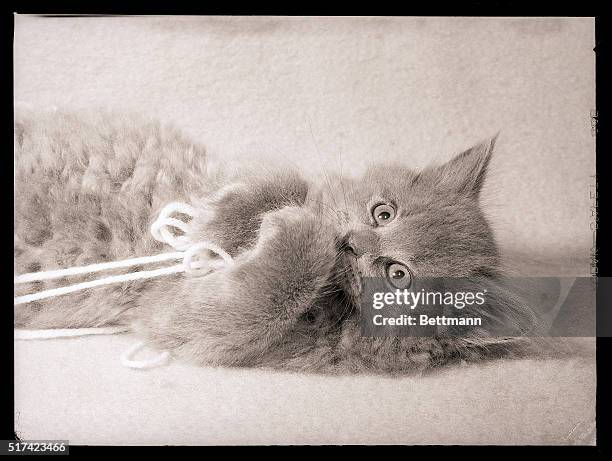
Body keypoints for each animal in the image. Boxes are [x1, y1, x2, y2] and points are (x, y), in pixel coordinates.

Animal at [13, 110, 540, 374]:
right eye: (383, 212)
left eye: (398, 276)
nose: (352, 243)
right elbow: (282, 182)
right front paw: (220, 222)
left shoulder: (184, 321)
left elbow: (253, 303)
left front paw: (299, 234)